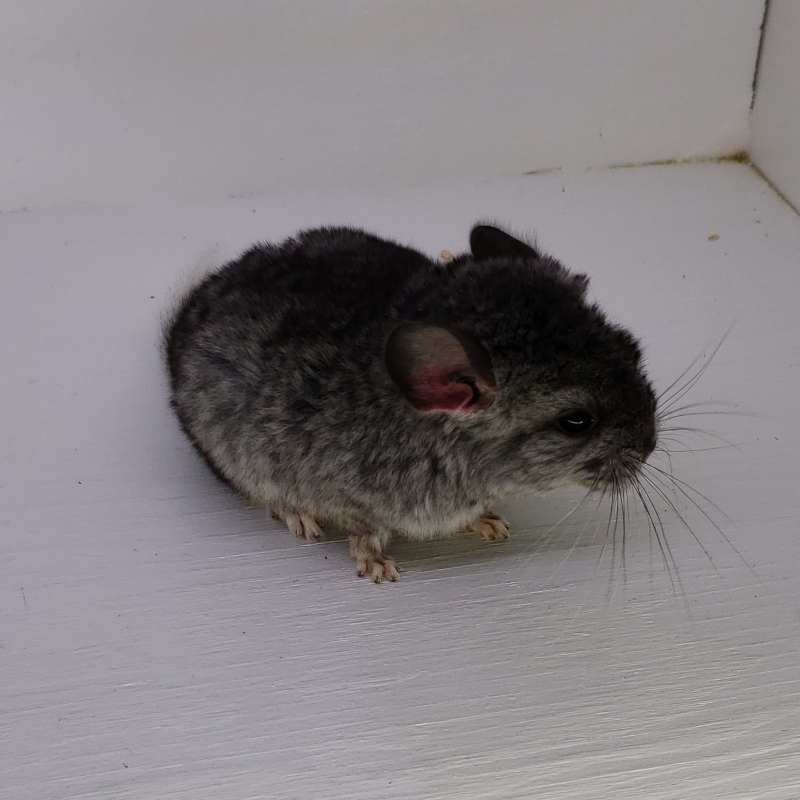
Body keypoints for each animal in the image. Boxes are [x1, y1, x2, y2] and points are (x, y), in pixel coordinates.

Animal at [165, 223, 657, 582]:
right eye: (577, 421)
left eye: (634, 351)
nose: (649, 446)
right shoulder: (348, 498)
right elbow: (365, 534)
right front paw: (379, 569)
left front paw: (489, 523)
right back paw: (299, 517)